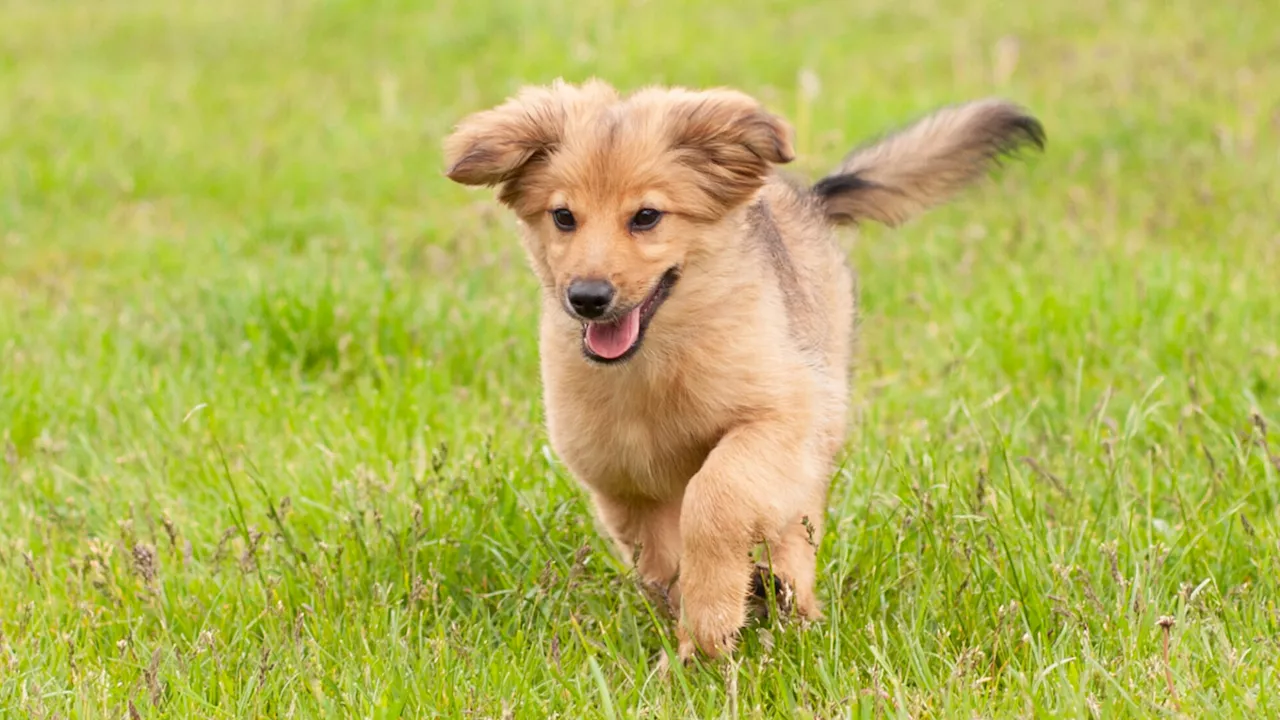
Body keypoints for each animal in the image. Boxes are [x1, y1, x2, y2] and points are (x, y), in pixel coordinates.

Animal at [440, 81, 1039, 661]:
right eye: (563, 217)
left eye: (646, 217)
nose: (587, 297)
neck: (655, 366)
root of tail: (810, 201)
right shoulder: (621, 478)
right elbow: (661, 558)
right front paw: (693, 630)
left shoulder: (778, 418)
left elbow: (716, 499)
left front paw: (711, 623)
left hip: (816, 425)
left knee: (797, 524)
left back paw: (791, 602)